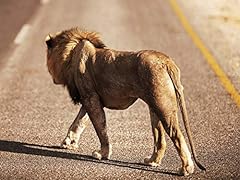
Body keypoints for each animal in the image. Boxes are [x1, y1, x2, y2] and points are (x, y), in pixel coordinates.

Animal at [44, 27, 204, 175]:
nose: (52, 77)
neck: (71, 53)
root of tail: (166, 61)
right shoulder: (88, 99)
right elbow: (79, 122)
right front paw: (68, 142)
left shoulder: (91, 98)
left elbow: (100, 128)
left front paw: (102, 153)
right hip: (155, 106)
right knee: (160, 139)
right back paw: (152, 161)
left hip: (163, 106)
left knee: (177, 135)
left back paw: (185, 168)